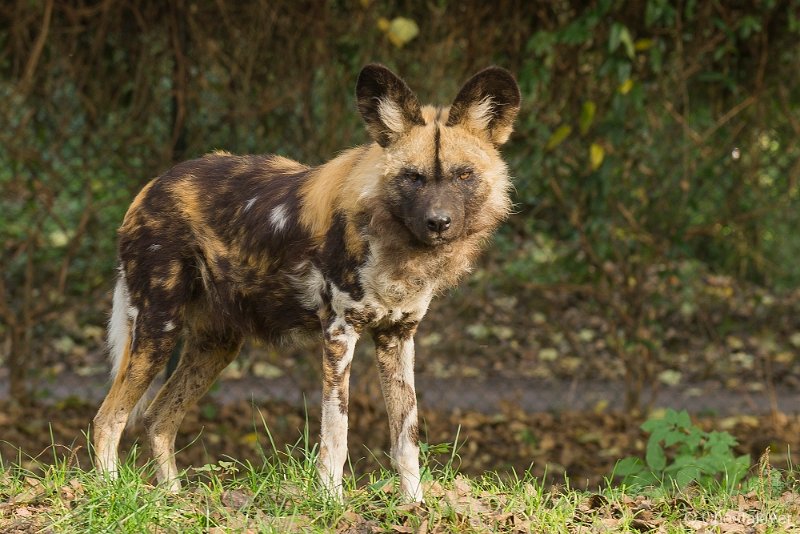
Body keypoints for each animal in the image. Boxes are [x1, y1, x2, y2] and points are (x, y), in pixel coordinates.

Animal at [94, 65, 520, 504]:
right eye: (413, 178)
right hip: (158, 331)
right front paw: (332, 503)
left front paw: (413, 505)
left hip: (216, 347)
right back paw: (111, 493)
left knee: (158, 419)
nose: (438, 222)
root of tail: (151, 187)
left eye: (463, 175)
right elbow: (336, 434)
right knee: (108, 418)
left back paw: (174, 499)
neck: (392, 246)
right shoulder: (339, 335)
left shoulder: (398, 337)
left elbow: (406, 437)